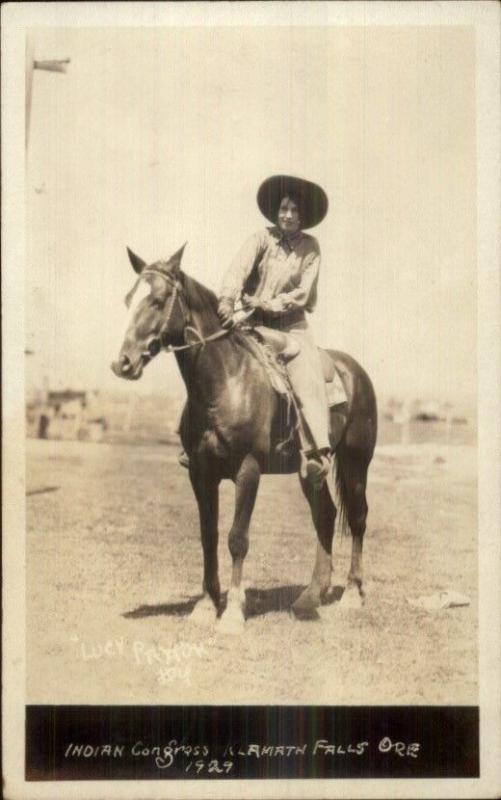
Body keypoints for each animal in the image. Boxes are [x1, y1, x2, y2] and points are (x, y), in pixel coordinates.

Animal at [110, 244, 376, 632]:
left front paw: (233, 612)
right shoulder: (200, 473)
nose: (123, 364)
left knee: (357, 517)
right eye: (129, 299)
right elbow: (208, 536)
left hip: (357, 461)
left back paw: (353, 595)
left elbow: (237, 538)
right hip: (310, 470)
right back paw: (310, 597)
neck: (227, 380)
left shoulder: (247, 470)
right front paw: (206, 605)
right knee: (325, 515)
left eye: (157, 300)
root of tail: (355, 370)